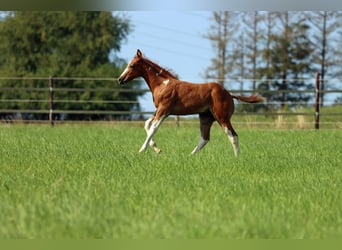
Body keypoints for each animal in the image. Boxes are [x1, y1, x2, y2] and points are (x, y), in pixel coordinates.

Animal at [118, 49, 264, 156]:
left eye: (132, 65)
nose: (120, 79)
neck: (163, 84)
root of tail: (229, 94)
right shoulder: (160, 110)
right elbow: (147, 124)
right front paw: (156, 149)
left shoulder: (164, 109)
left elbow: (153, 128)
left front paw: (142, 150)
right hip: (206, 118)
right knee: (205, 138)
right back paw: (190, 155)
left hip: (222, 117)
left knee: (232, 135)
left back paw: (237, 157)